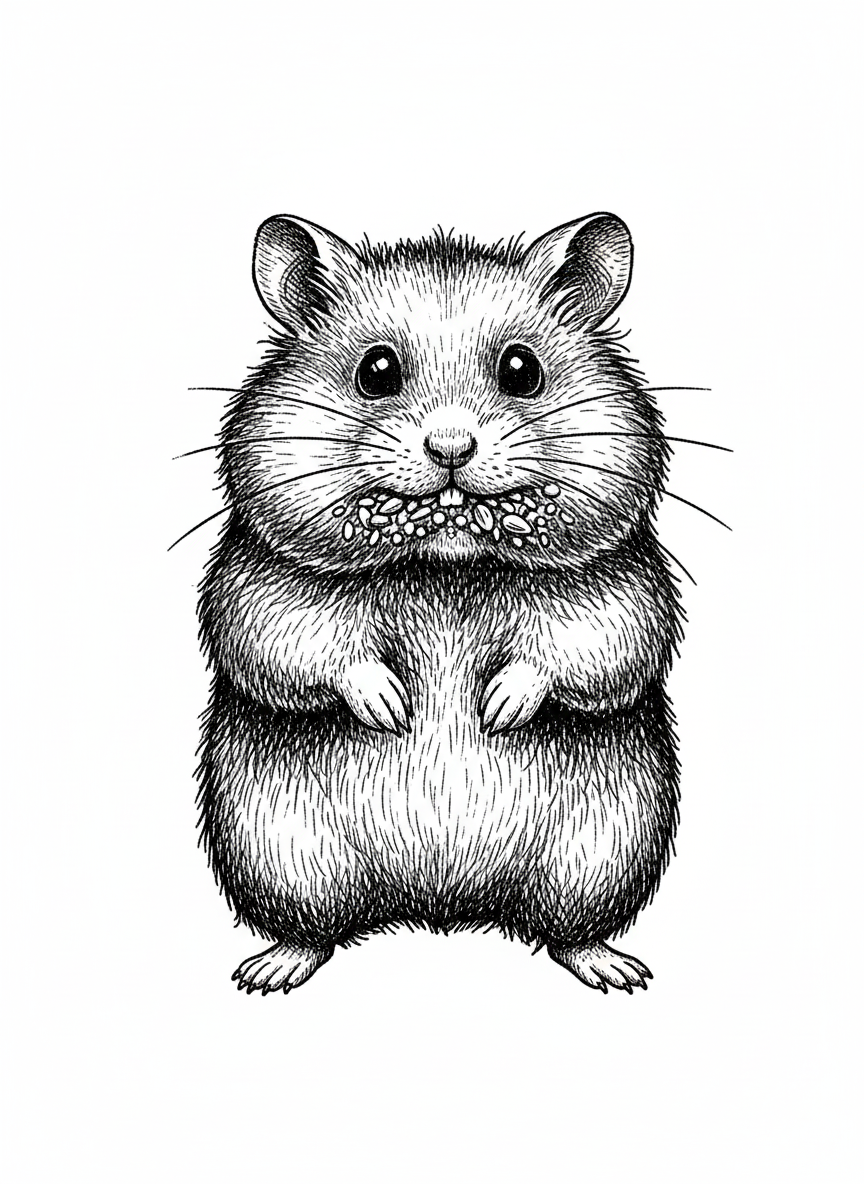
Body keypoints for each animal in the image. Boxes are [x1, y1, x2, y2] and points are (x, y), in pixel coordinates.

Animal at [196, 212, 683, 995]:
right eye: (376, 371)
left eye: (522, 369)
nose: (451, 448)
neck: (445, 563)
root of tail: (441, 903)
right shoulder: (259, 579)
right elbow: (297, 641)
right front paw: (393, 710)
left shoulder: (622, 582)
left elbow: (588, 644)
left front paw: (497, 710)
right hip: (276, 850)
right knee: (310, 927)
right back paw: (268, 971)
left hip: (607, 849)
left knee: (571, 928)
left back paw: (616, 970)